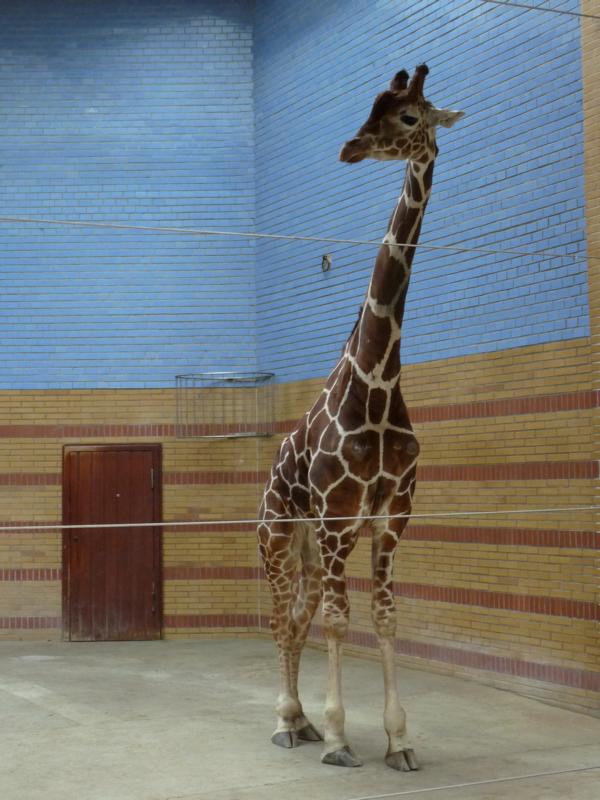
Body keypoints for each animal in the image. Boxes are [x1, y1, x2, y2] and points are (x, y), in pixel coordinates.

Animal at [258, 64, 464, 771]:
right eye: (371, 105)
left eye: (408, 117)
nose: (350, 147)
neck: (377, 382)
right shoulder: (337, 513)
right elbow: (339, 620)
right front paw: (341, 735)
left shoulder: (391, 512)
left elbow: (384, 617)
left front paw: (399, 738)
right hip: (279, 533)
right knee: (281, 614)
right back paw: (287, 720)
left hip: (310, 542)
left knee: (297, 614)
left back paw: (300, 720)